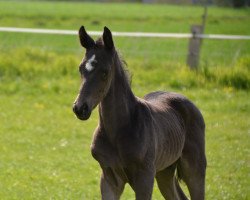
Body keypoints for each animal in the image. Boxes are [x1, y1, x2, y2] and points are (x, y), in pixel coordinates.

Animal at [73, 26, 207, 200]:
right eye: (81, 68)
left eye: (105, 72)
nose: (80, 108)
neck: (119, 131)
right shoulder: (109, 178)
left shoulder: (144, 178)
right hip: (165, 171)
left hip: (195, 169)